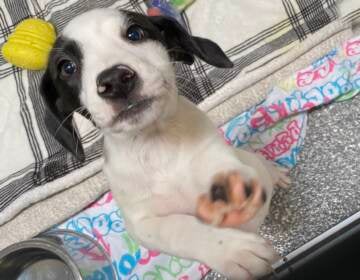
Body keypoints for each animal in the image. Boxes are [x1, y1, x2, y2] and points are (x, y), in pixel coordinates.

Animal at [40, 8, 290, 278]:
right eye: (67, 67)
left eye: (135, 33)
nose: (115, 80)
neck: (156, 145)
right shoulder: (142, 224)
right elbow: (179, 228)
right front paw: (231, 250)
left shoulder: (217, 158)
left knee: (255, 159)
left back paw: (273, 171)